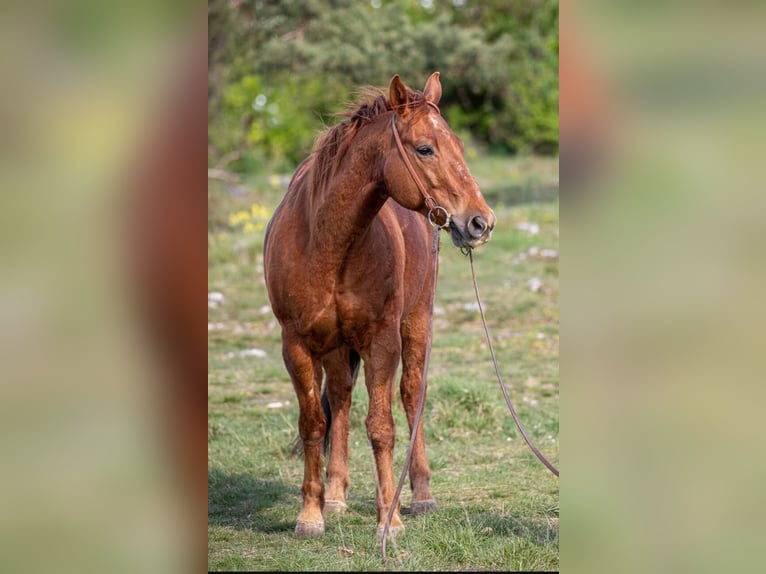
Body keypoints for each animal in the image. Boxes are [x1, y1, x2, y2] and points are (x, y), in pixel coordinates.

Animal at [263, 72, 495, 538]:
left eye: (460, 145)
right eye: (424, 148)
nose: (481, 222)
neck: (326, 243)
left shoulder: (382, 341)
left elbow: (382, 427)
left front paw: (389, 518)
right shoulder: (295, 344)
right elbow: (313, 423)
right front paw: (311, 514)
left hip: (416, 323)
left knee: (411, 394)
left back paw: (420, 494)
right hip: (335, 347)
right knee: (341, 399)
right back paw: (335, 495)